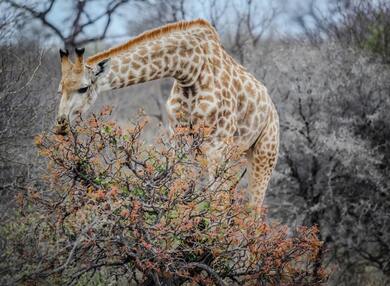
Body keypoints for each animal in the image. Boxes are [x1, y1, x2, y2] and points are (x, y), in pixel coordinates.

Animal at [54, 19, 278, 207]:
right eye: (60, 89)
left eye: (83, 88)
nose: (60, 125)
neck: (190, 70)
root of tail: (271, 107)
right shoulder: (178, 137)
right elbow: (179, 188)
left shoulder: (218, 143)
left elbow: (216, 201)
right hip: (237, 153)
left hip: (264, 153)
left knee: (253, 208)